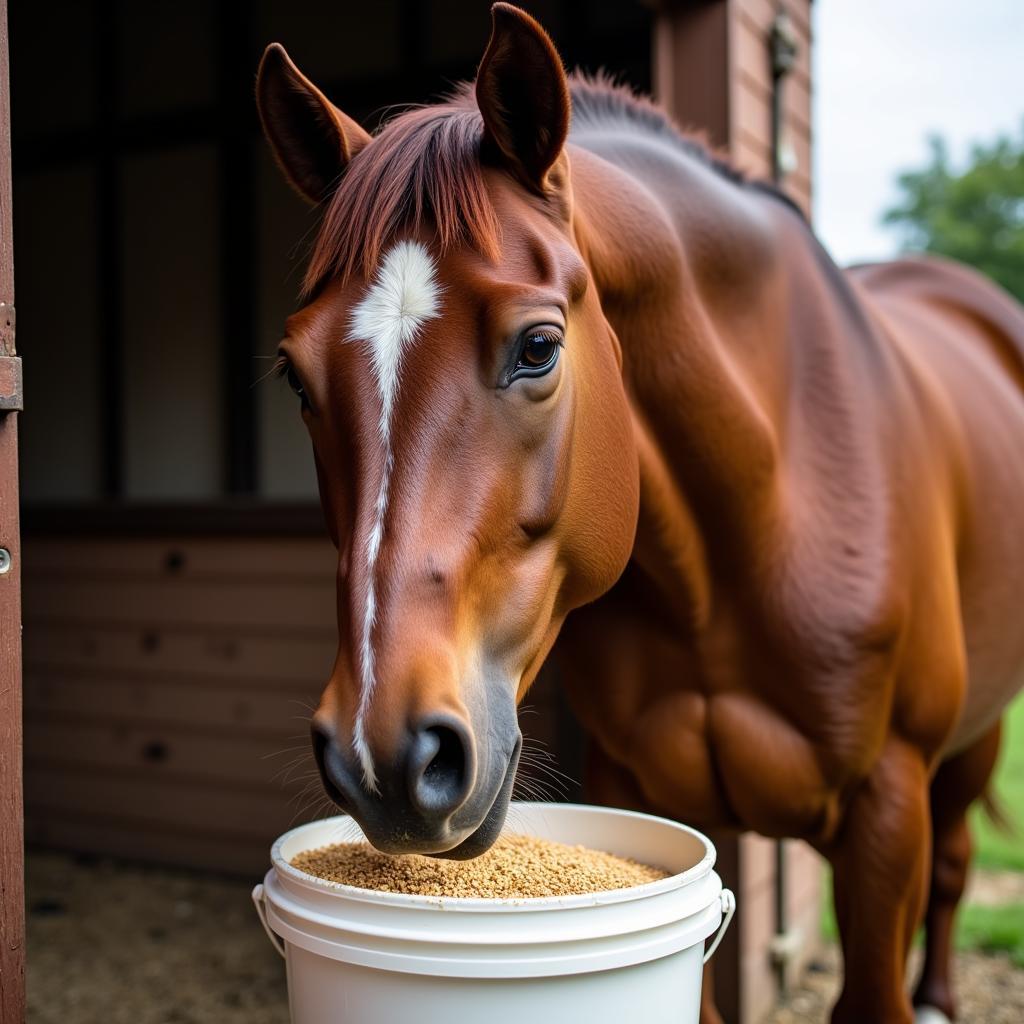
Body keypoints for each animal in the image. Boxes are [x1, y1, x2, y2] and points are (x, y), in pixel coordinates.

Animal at [253, 9, 1024, 1024]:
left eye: (540, 347)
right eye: (296, 377)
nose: (384, 756)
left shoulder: (887, 812)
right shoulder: (644, 793)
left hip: (970, 742)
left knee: (955, 865)